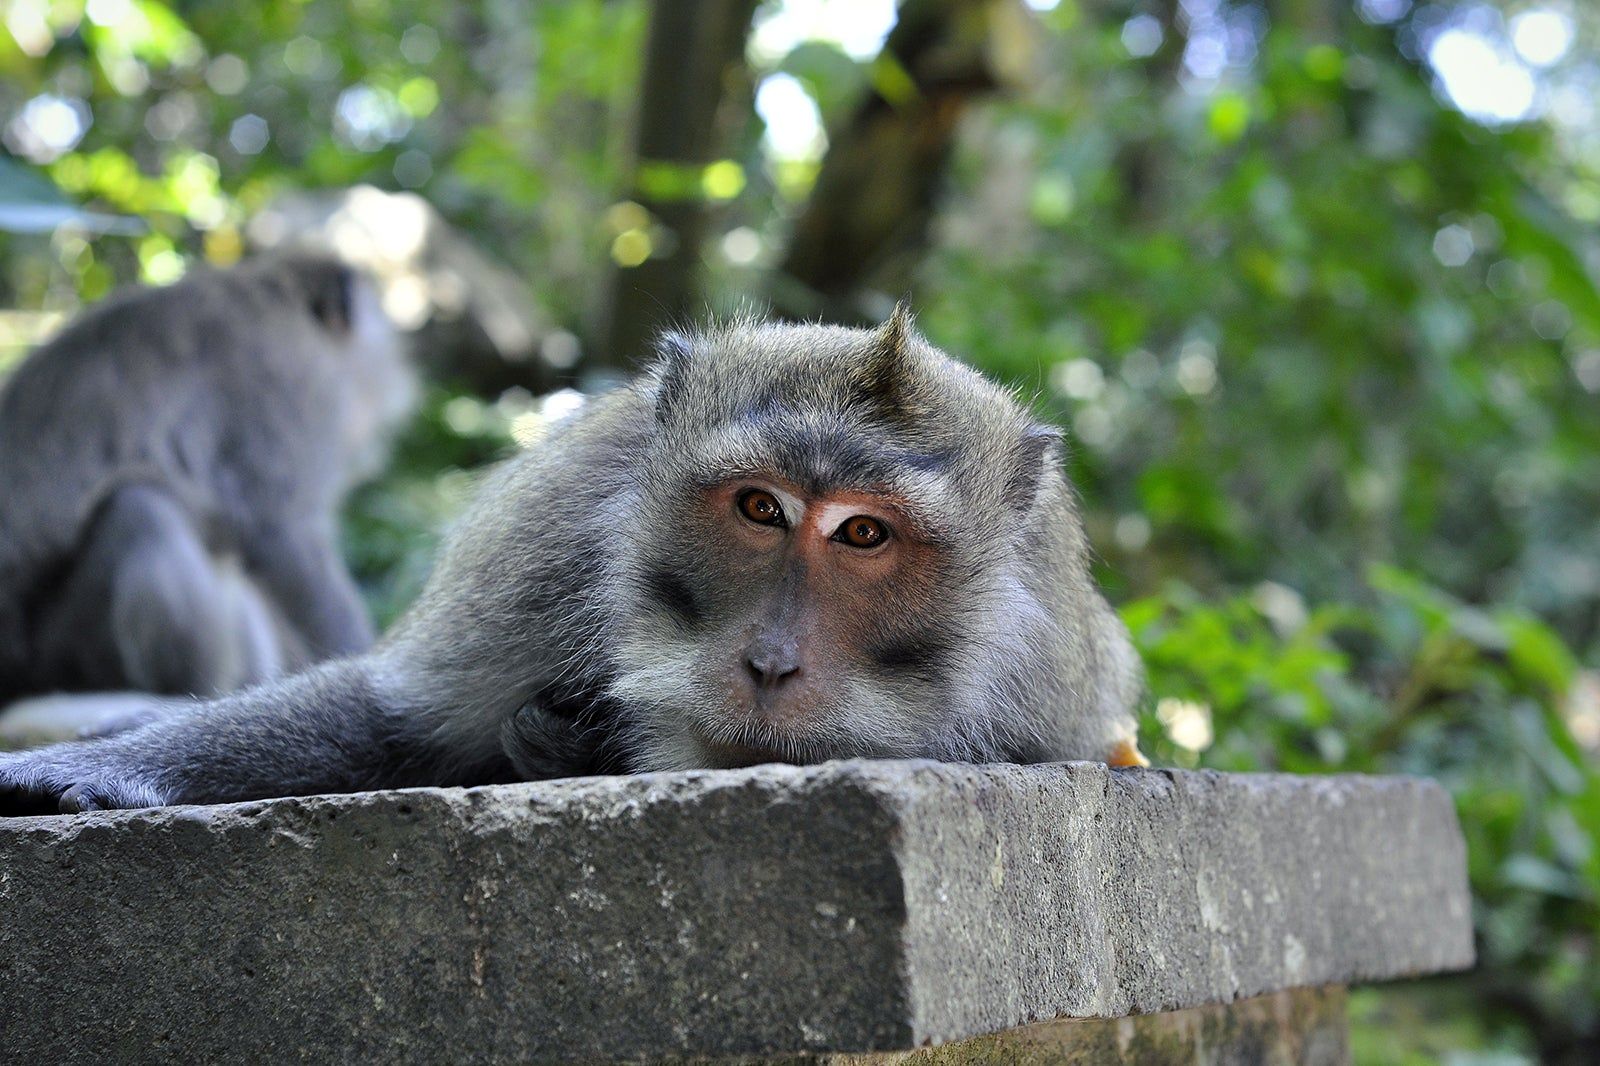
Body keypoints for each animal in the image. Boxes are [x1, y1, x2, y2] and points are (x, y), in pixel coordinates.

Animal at [0, 308, 1144, 814]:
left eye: (865, 533)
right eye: (760, 508)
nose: (770, 662)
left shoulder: (1049, 687)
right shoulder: (552, 545)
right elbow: (393, 717)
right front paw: (85, 770)